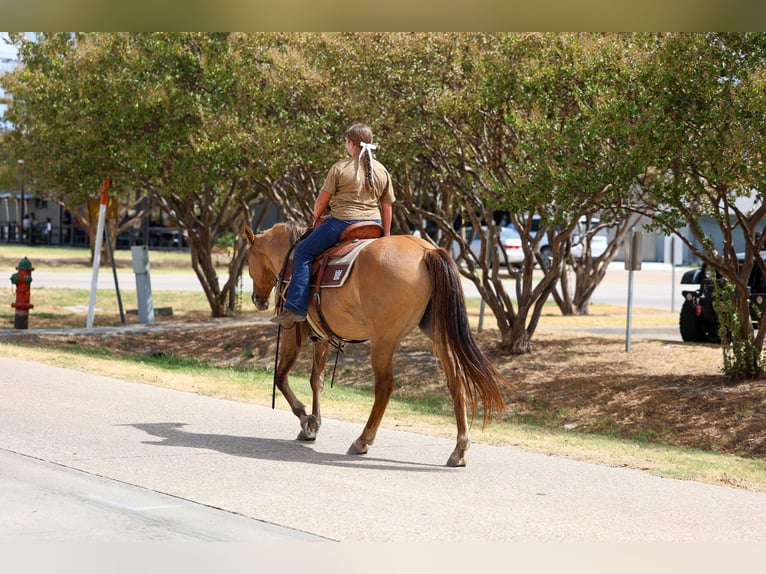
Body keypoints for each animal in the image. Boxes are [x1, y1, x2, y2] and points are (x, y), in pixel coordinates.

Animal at [243, 222, 508, 467]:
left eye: (249, 258)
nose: (256, 298)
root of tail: (426, 251)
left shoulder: (294, 330)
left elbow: (280, 376)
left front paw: (305, 419)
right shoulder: (322, 337)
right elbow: (316, 380)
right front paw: (314, 423)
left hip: (383, 340)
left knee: (384, 386)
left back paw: (362, 440)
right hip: (438, 333)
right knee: (456, 382)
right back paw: (459, 450)